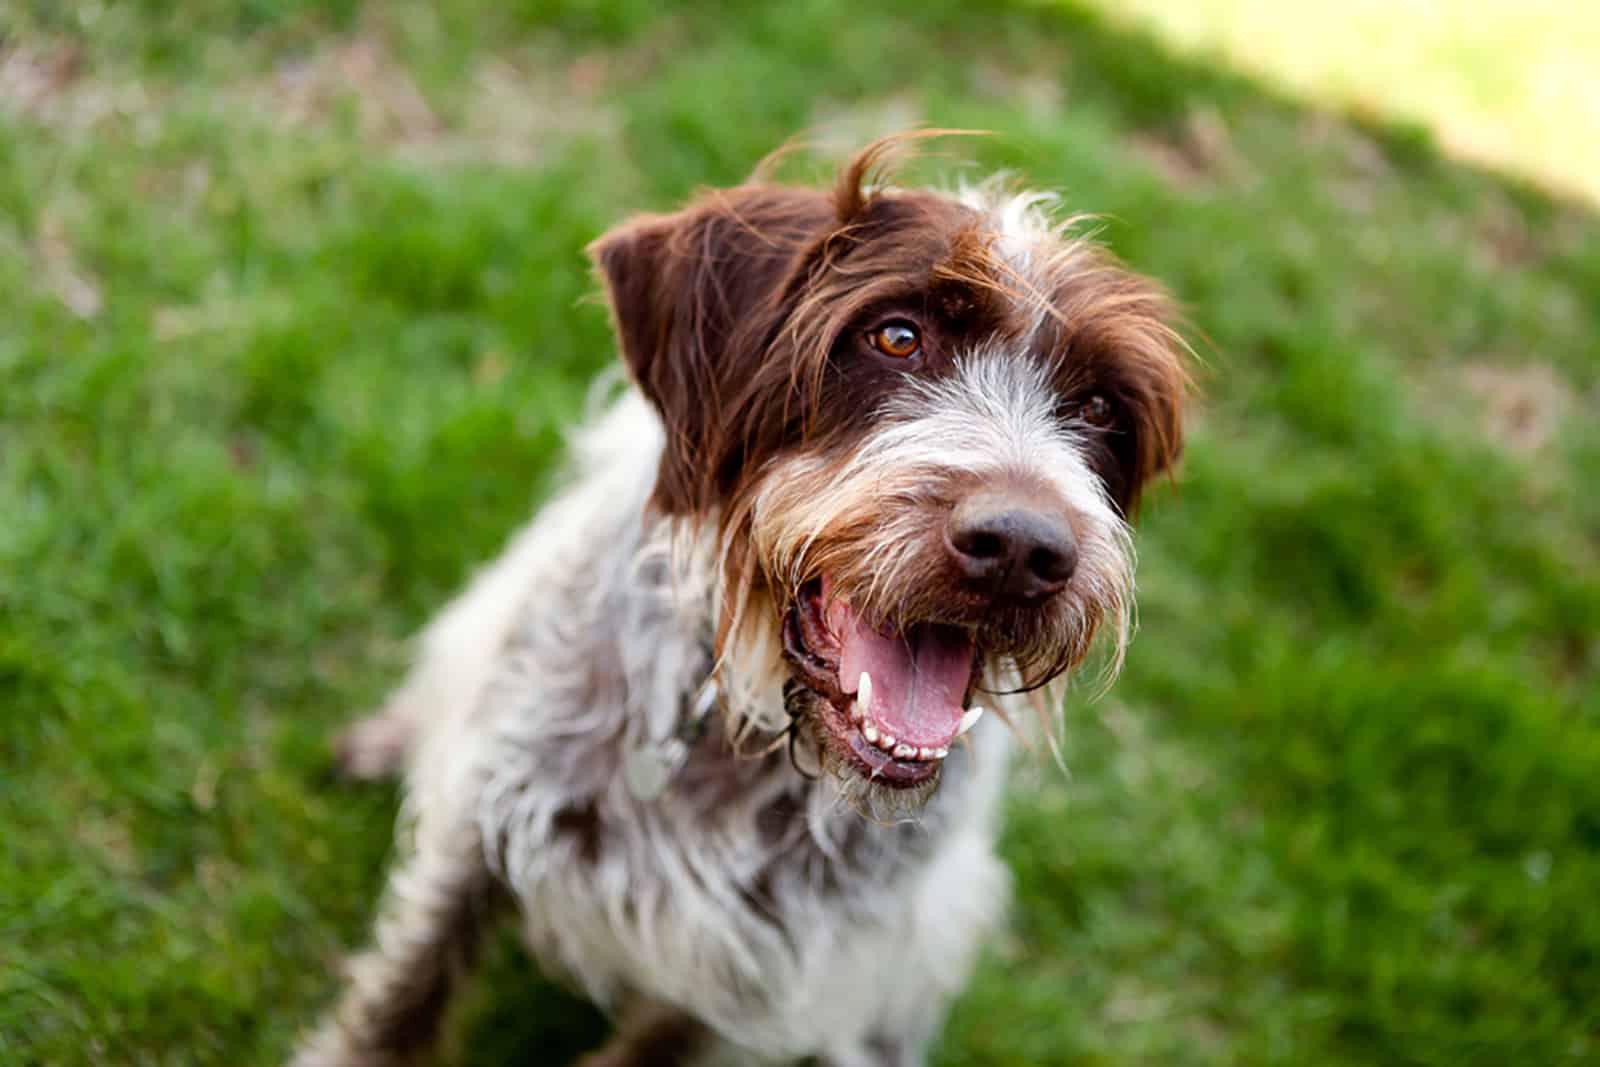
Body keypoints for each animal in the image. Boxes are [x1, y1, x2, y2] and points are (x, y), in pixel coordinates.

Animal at [294, 135, 1184, 1067]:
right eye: (897, 336)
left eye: (1099, 408)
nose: (1022, 548)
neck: (740, 729)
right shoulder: (484, 825)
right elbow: (404, 993)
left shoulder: (756, 984)